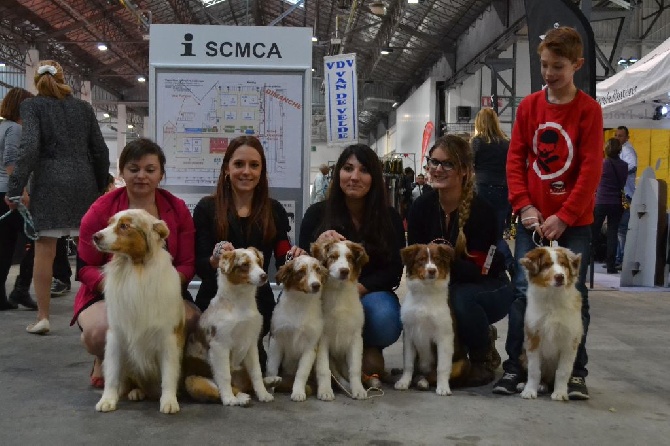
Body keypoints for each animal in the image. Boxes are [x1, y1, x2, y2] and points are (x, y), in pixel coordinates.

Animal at [92, 209, 186, 414]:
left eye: (124, 226)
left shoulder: (168, 336)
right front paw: (107, 400)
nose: (95, 236)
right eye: (109, 223)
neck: (135, 268)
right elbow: (112, 372)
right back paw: (136, 392)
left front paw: (169, 401)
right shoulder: (116, 333)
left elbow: (169, 373)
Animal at [181, 249, 278, 406]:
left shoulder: (251, 343)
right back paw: (239, 398)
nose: (264, 275)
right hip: (193, 381)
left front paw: (263, 394)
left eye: (258, 262)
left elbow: (256, 372)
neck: (240, 302)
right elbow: (224, 375)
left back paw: (271, 380)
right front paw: (229, 399)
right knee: (222, 389)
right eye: (244, 264)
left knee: (248, 382)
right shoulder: (220, 345)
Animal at [268, 256, 330, 402]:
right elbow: (272, 368)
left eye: (318, 270)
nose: (316, 285)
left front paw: (298, 392)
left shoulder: (310, 346)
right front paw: (269, 388)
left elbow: (302, 372)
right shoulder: (276, 340)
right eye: (301, 272)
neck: (300, 302)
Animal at [312, 240, 370, 400]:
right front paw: (325, 391)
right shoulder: (322, 338)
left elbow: (355, 368)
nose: (344, 271)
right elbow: (323, 368)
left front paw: (358, 389)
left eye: (350, 258)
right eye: (333, 256)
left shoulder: (356, 337)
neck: (339, 292)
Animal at [520, 246, 584, 402]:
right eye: (547, 265)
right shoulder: (533, 337)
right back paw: (536, 385)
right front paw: (529, 391)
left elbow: (563, 371)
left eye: (563, 264)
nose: (560, 276)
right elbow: (534, 370)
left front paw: (560, 393)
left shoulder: (570, 341)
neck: (553, 298)